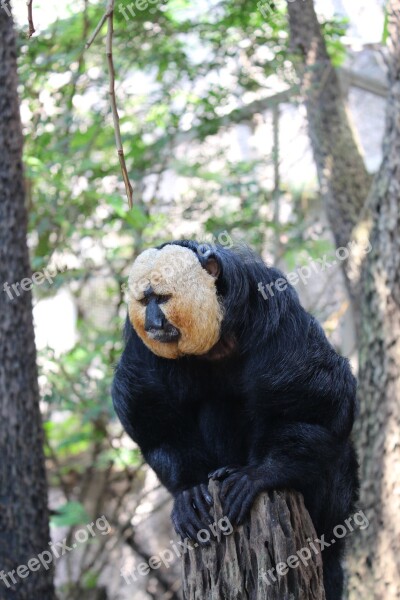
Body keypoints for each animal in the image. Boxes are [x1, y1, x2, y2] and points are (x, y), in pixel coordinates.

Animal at [112, 240, 360, 600]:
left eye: (162, 298)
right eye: (145, 301)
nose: (153, 320)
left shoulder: (273, 309)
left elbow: (319, 400)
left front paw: (261, 474)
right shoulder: (140, 344)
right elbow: (155, 423)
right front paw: (189, 489)